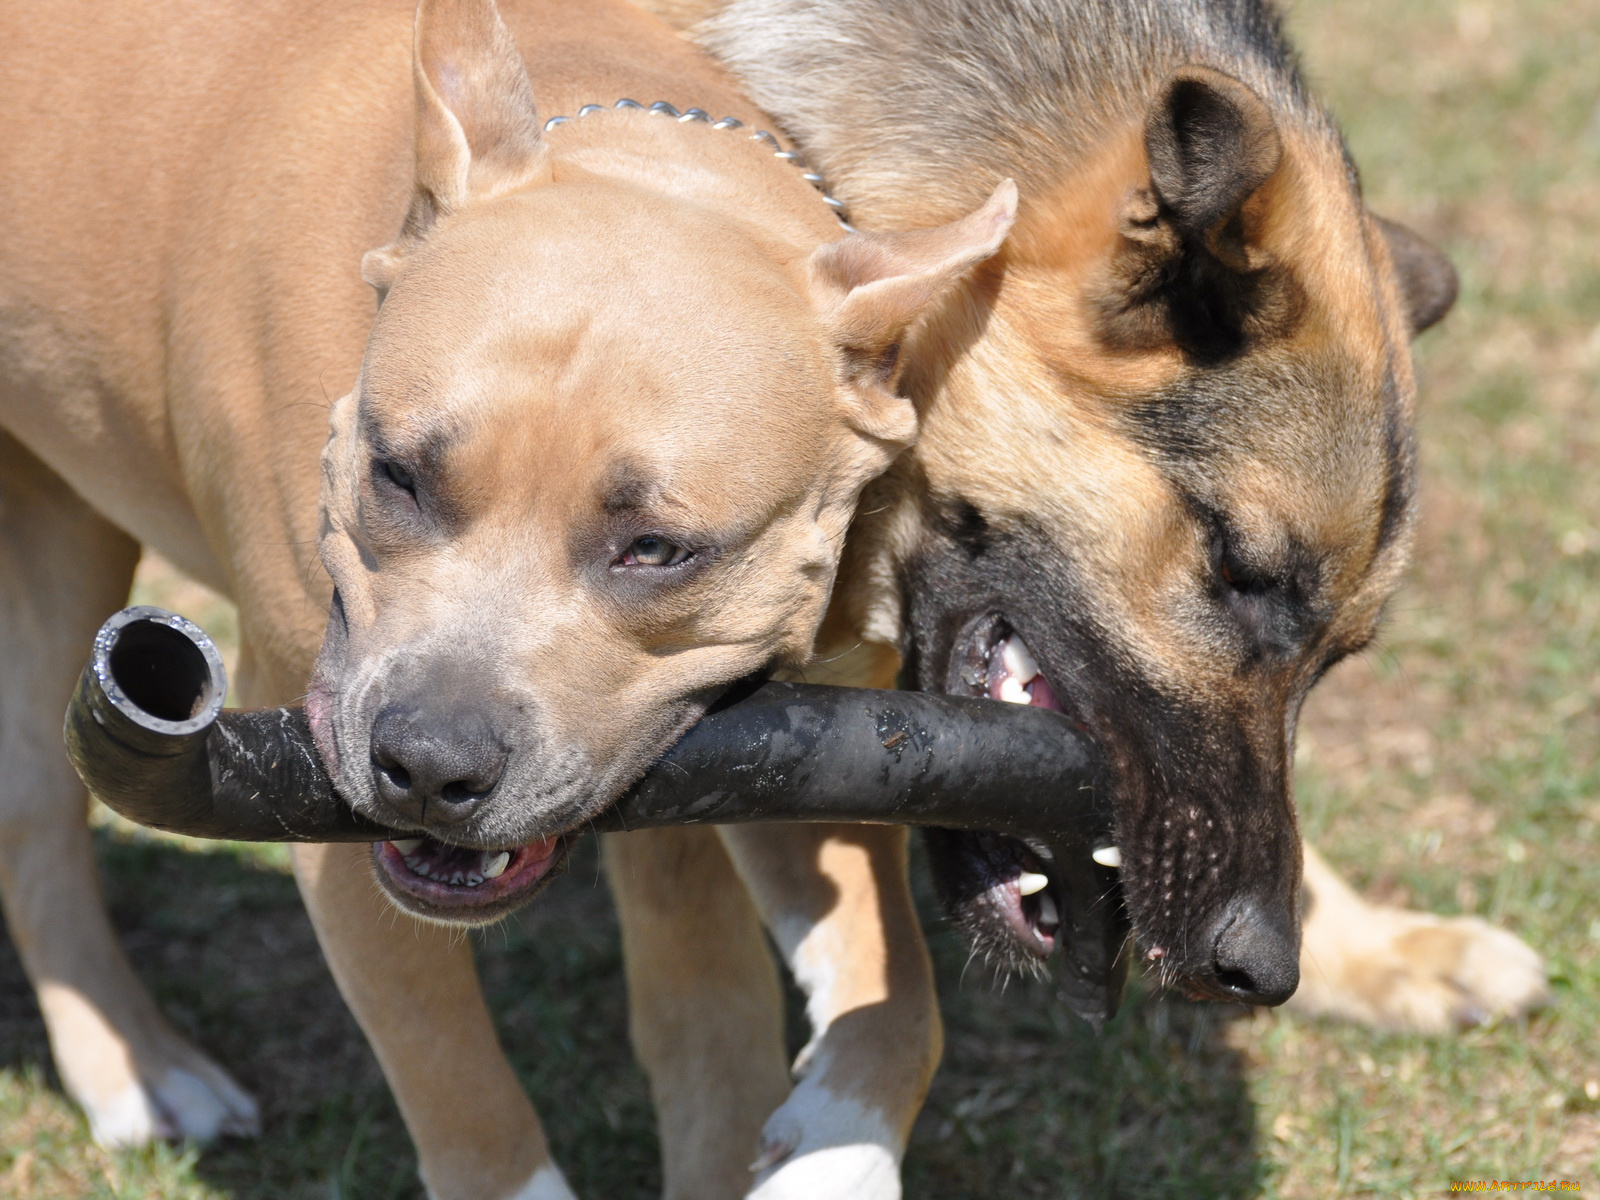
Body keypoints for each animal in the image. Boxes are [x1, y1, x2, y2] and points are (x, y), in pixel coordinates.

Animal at [0, 0, 1011, 1184]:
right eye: (398, 475)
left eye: (657, 549)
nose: (431, 764)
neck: (647, 152)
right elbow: (467, 1102)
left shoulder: (791, 762)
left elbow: (871, 1000)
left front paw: (827, 1154)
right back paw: (137, 1070)